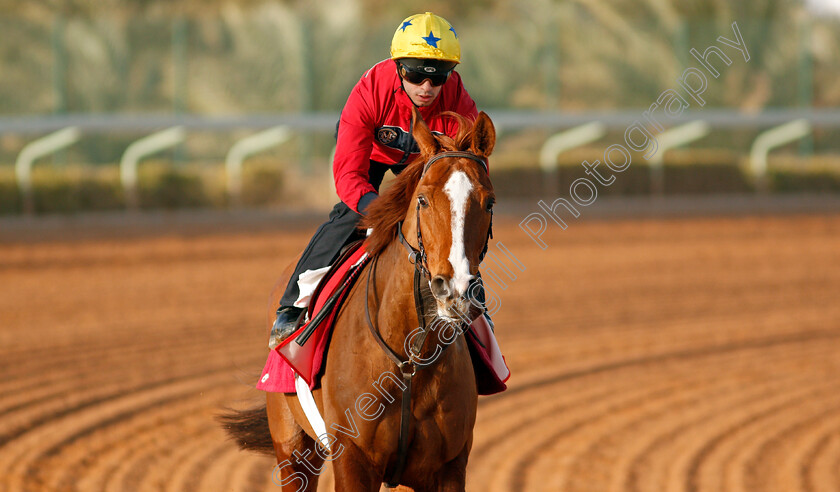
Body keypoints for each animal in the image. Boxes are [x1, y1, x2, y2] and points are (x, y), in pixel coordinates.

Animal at [223, 108, 496, 492]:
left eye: (489, 202)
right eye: (423, 199)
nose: (455, 290)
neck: (410, 360)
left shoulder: (448, 467)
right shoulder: (353, 459)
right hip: (293, 451)